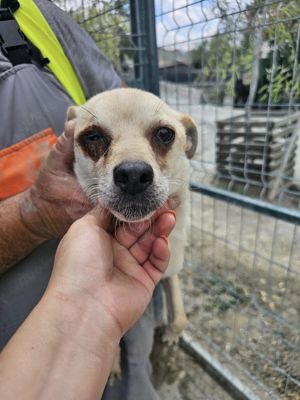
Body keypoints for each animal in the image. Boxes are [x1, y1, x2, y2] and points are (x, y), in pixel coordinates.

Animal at [66, 86, 197, 374]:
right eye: (93, 136)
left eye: (164, 134)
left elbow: (180, 317)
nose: (134, 175)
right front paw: (113, 361)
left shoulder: (172, 270)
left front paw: (172, 334)